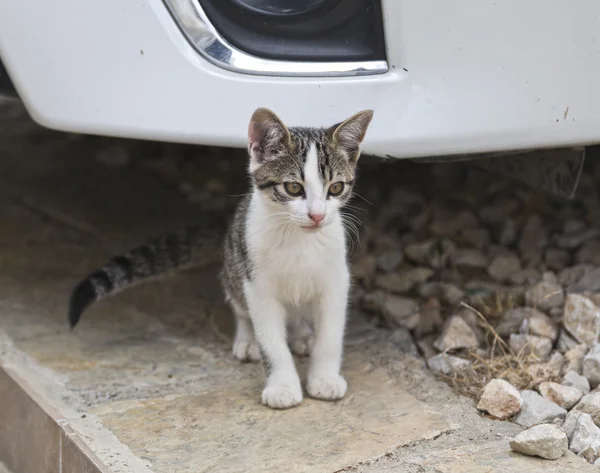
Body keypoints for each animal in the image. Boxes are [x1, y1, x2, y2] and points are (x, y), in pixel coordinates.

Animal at [68, 106, 372, 406]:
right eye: (293, 188)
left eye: (336, 188)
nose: (317, 215)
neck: (299, 240)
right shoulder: (257, 284)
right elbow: (271, 341)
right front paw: (282, 385)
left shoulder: (336, 282)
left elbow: (330, 337)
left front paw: (324, 378)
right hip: (234, 265)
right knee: (241, 308)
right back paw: (249, 340)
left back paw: (303, 335)